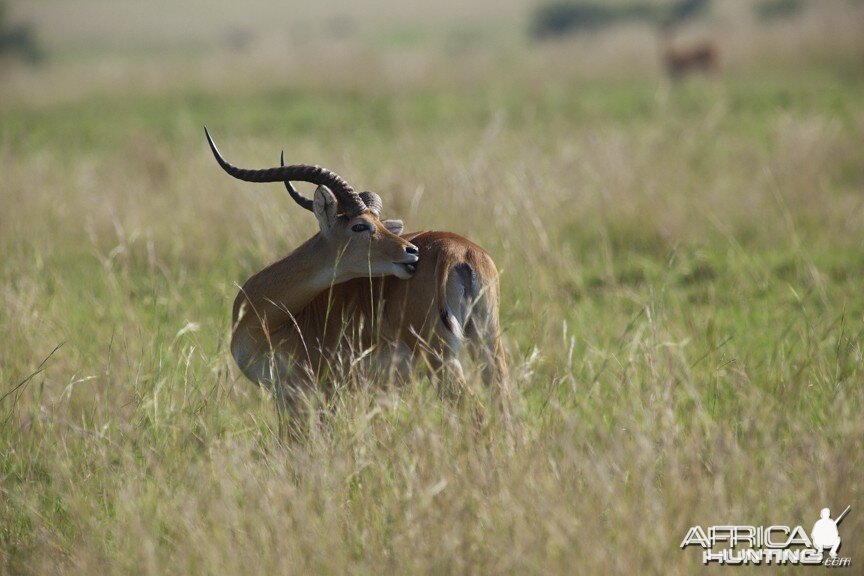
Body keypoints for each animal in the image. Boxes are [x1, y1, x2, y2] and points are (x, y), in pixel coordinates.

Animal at [205, 129, 510, 436]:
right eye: (360, 225)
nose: (412, 252)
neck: (270, 319)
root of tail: (459, 252)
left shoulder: (304, 395)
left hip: (441, 359)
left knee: (477, 411)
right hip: (488, 344)